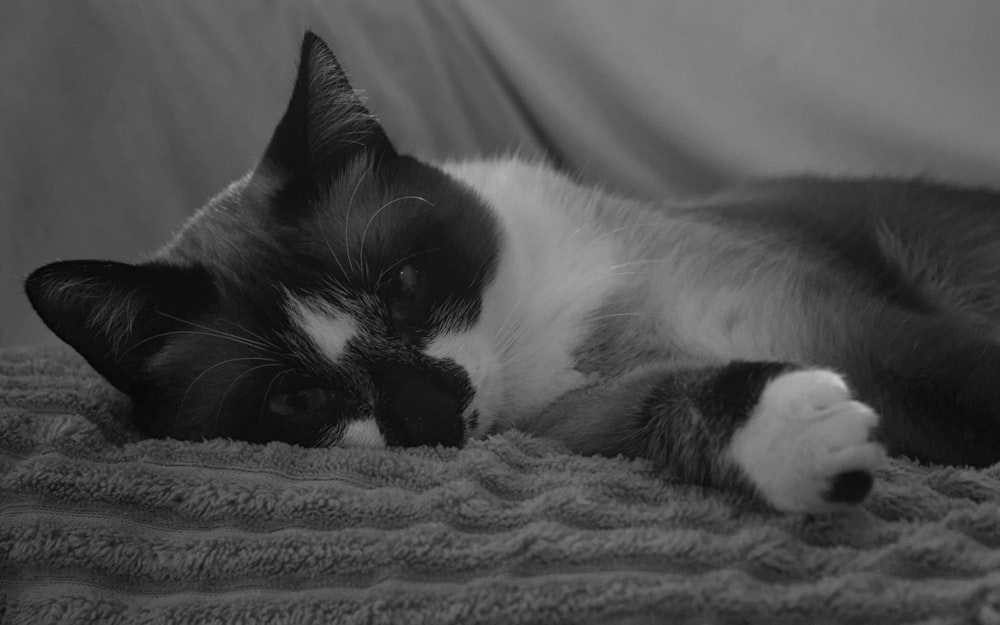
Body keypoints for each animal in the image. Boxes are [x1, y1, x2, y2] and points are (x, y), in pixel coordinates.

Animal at [21, 31, 1000, 516]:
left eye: (403, 288)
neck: (544, 340)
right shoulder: (573, 420)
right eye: (295, 400)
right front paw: (806, 442)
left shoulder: (854, 326)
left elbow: (960, 376)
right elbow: (680, 399)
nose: (429, 415)